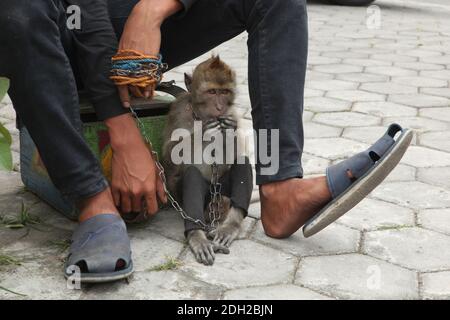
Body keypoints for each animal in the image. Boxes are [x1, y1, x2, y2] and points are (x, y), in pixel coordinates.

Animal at [163, 57, 253, 264]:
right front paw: (204, 131)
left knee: (242, 162)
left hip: (222, 198)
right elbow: (168, 153)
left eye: (224, 92)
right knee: (190, 175)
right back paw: (197, 236)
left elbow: (237, 153)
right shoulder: (179, 110)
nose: (219, 107)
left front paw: (229, 131)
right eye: (212, 92)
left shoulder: (233, 113)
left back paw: (230, 226)